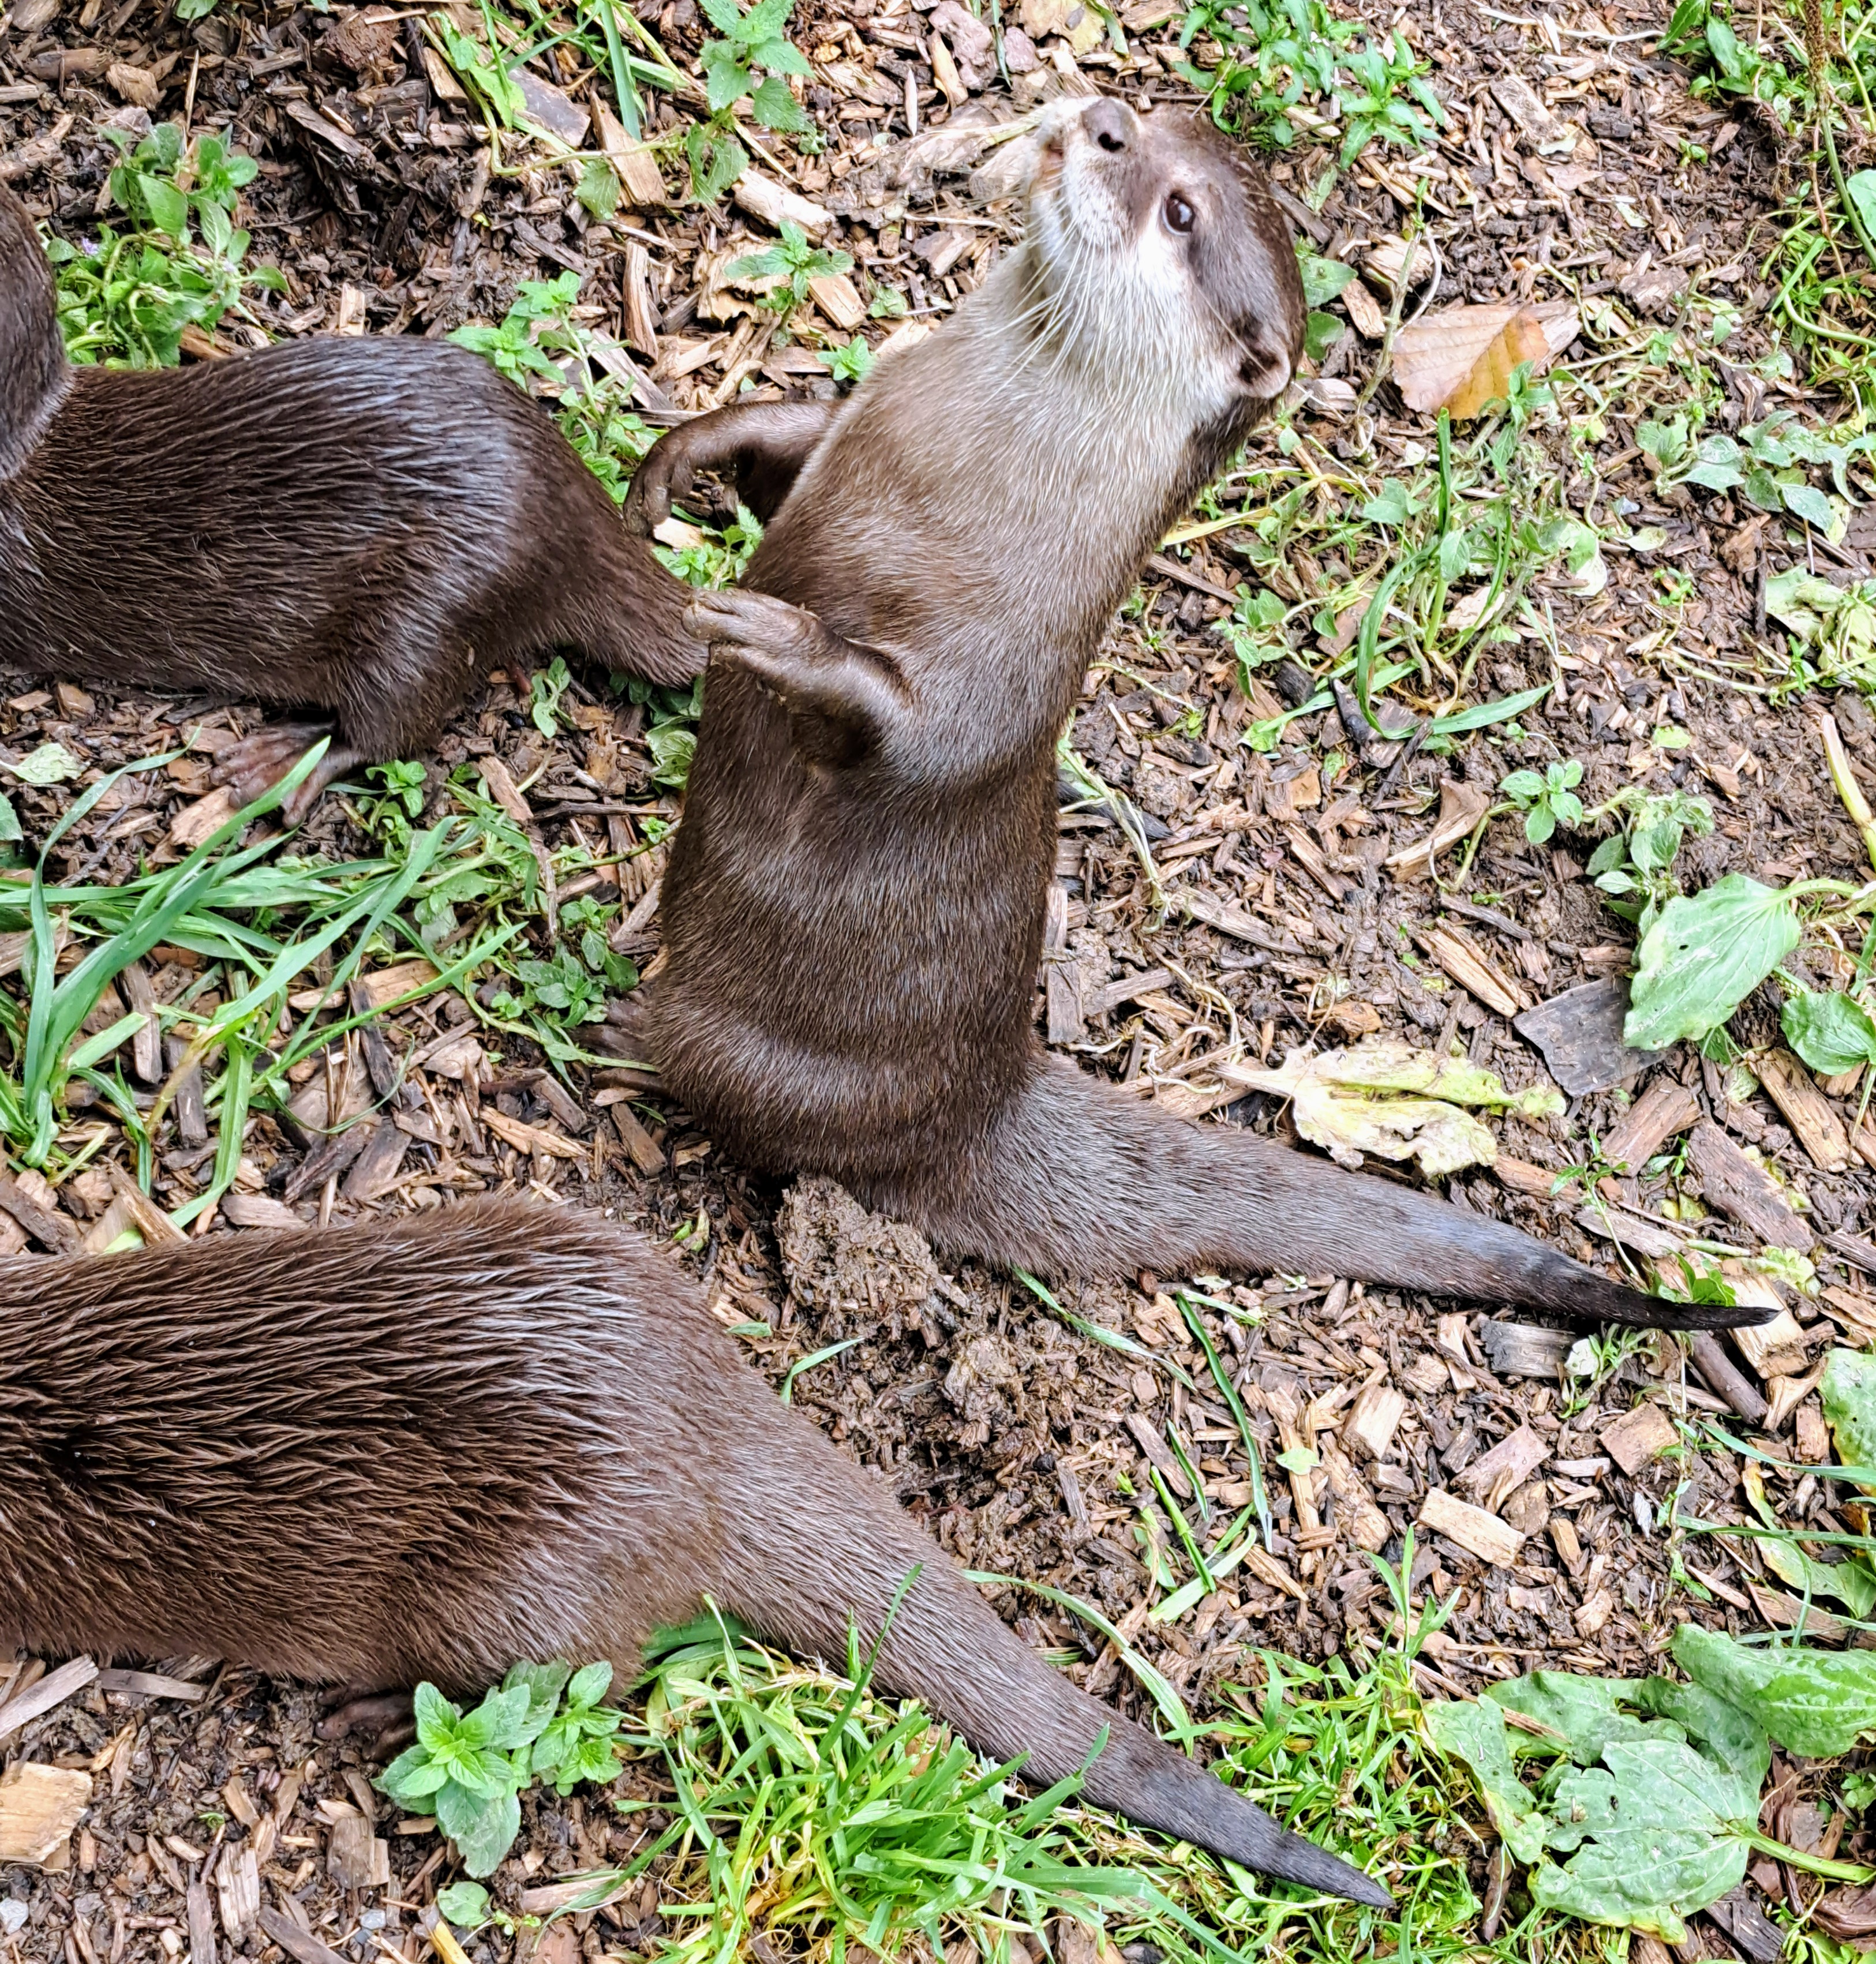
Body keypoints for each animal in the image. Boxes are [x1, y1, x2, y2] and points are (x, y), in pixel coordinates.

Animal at [632, 99, 1776, 1343]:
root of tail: (978, 1105)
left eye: (1180, 210)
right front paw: (686, 450)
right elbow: (790, 439)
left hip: (745, 1055)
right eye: (1148, 116)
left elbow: (921, 730)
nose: (1099, 119)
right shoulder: (858, 427)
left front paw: (769, 635)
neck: (950, 461)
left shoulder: (1001, 658)